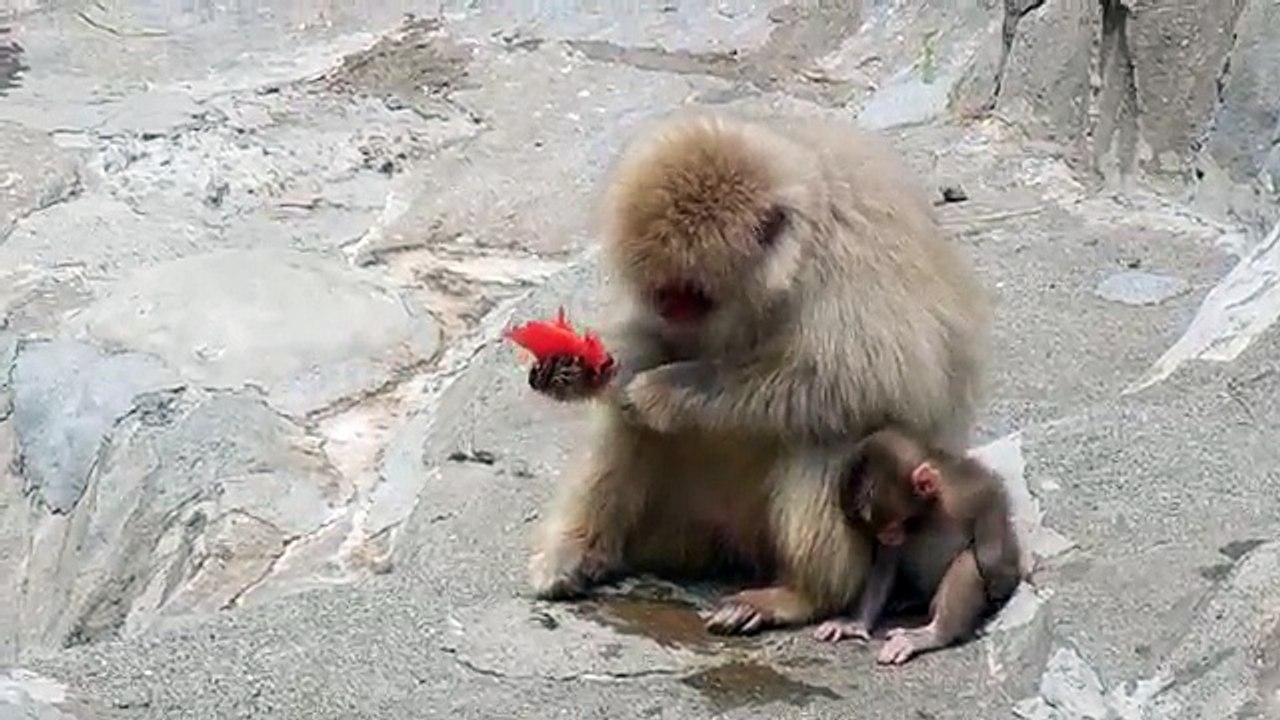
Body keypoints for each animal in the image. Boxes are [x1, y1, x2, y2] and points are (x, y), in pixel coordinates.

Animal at [525, 109, 992, 635]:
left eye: (692, 294)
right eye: (661, 291)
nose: (668, 308)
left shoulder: (853, 262)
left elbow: (876, 379)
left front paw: (666, 392)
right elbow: (653, 347)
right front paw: (578, 369)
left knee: (830, 429)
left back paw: (805, 595)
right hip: (682, 520)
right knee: (627, 429)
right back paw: (580, 551)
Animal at [813, 427, 1023, 664]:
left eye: (891, 526)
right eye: (880, 531)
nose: (887, 538)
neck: (932, 511)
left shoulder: (962, 494)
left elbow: (992, 494)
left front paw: (998, 573)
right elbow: (885, 564)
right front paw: (855, 622)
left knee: (968, 560)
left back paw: (934, 634)